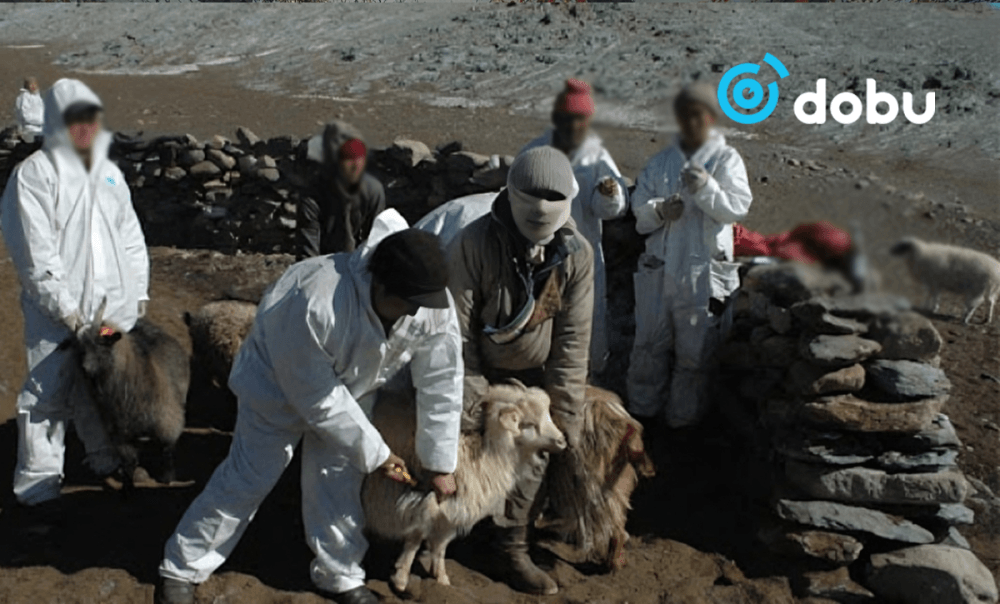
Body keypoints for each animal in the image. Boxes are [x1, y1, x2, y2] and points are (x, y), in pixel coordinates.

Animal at [362, 380, 568, 592]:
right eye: (528, 424)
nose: (562, 441)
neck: (481, 454)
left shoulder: (451, 509)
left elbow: (441, 545)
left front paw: (441, 579)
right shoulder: (427, 502)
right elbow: (415, 538)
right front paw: (401, 579)